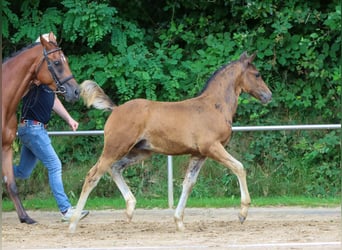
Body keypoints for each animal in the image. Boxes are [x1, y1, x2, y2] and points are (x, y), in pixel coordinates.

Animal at [70, 52, 272, 232]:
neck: (214, 106)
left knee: (115, 168)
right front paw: (242, 213)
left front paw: (179, 222)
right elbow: (239, 167)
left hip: (139, 151)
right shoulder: (212, 147)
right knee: (93, 175)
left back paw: (130, 208)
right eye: (257, 74)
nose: (269, 95)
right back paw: (73, 223)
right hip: (115, 148)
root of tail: (116, 109)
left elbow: (188, 183)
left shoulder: (199, 154)